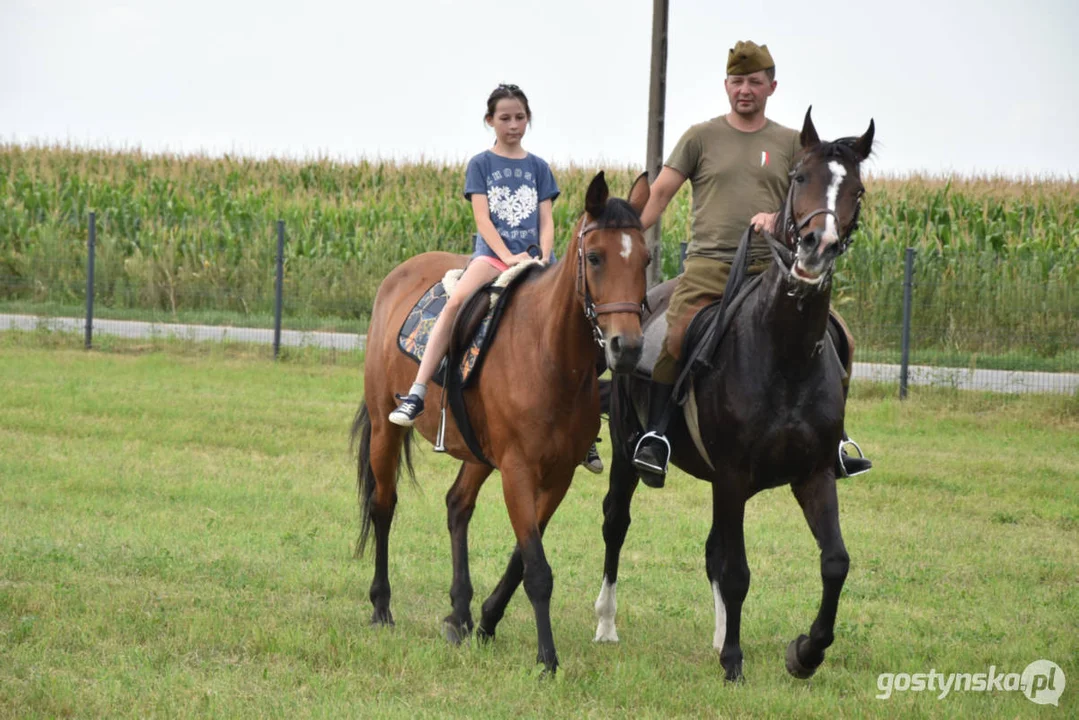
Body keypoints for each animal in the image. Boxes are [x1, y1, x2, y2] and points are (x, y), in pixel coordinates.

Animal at [353, 171, 647, 673]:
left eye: (645, 259)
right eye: (595, 257)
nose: (625, 347)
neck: (548, 355)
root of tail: (398, 276)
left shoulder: (557, 476)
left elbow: (522, 559)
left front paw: (487, 621)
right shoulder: (518, 470)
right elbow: (538, 569)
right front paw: (547, 659)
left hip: (477, 452)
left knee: (457, 505)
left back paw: (459, 613)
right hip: (386, 427)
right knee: (384, 506)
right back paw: (381, 607)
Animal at [595, 110, 871, 686]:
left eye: (856, 189)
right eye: (800, 177)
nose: (817, 246)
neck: (784, 352)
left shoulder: (812, 474)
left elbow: (835, 562)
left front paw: (805, 653)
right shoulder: (734, 476)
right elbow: (738, 570)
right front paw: (735, 662)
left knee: (712, 550)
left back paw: (722, 635)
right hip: (629, 454)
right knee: (616, 524)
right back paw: (606, 624)